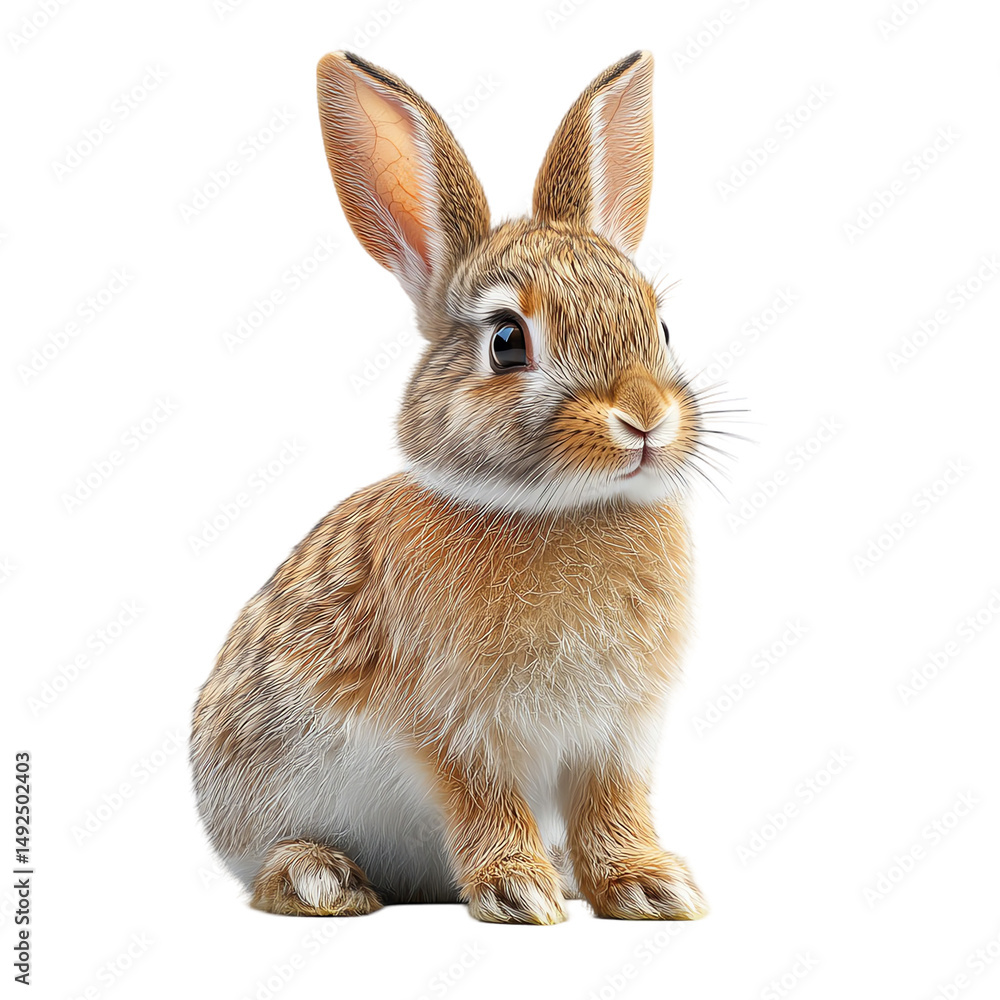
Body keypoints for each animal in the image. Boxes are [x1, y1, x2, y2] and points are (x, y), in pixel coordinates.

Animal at [191, 49, 718, 924]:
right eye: (507, 341)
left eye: (662, 326)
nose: (644, 417)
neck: (561, 510)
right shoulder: (457, 731)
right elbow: (484, 803)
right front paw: (516, 891)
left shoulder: (615, 739)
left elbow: (615, 809)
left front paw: (648, 885)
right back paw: (319, 877)